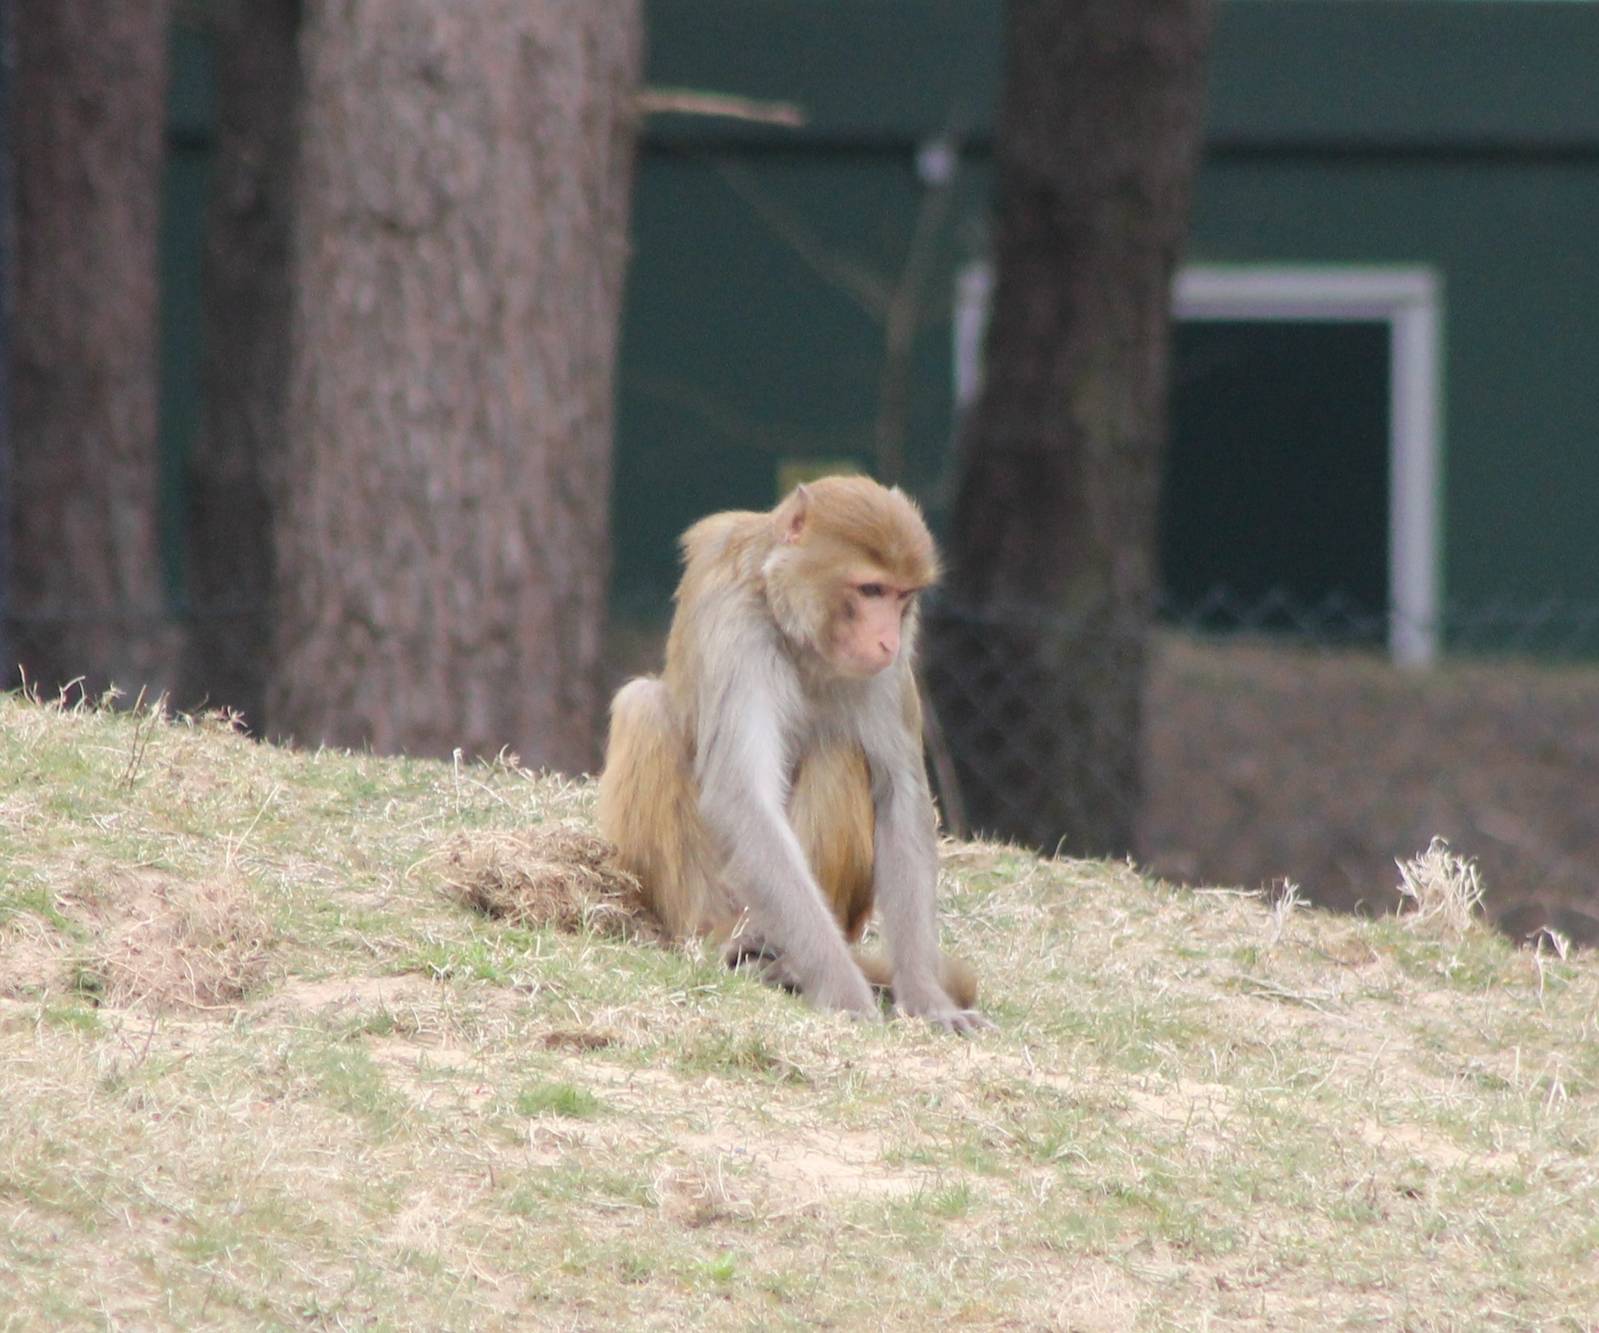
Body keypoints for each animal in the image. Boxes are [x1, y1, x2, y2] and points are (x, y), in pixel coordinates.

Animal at [597, 475, 985, 1033]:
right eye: (871, 590)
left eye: (902, 596)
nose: (887, 641)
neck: (795, 629)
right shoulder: (737, 626)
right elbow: (743, 798)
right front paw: (845, 992)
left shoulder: (888, 671)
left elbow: (900, 795)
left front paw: (927, 998)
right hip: (716, 893)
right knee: (643, 707)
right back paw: (727, 940)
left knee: (838, 751)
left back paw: (779, 960)